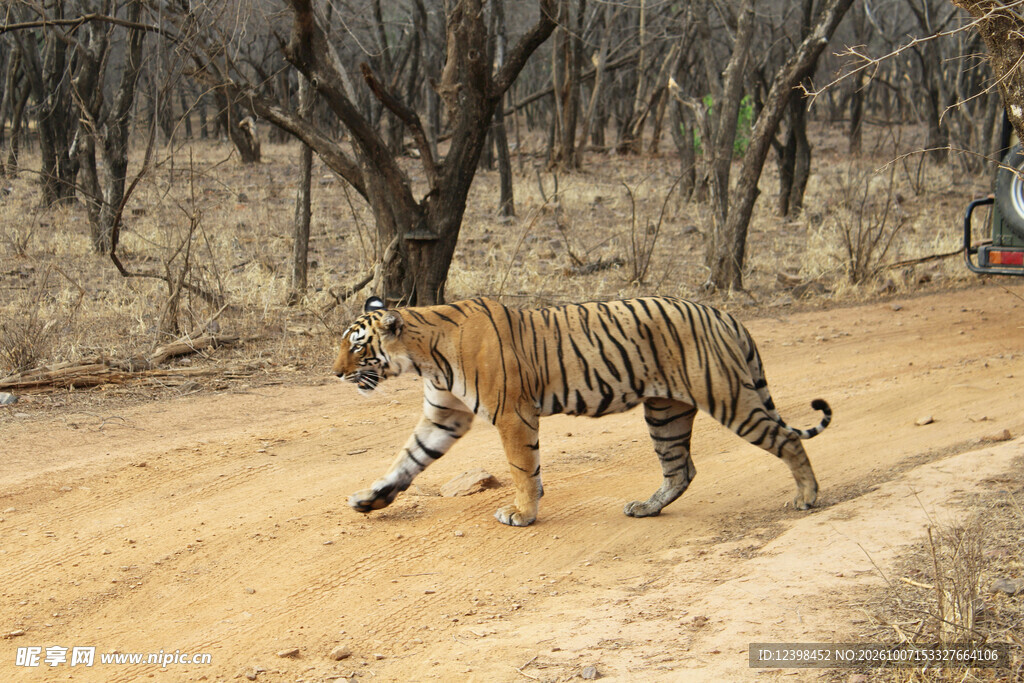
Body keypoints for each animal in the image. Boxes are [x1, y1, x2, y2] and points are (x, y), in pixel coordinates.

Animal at [333, 295, 831, 527]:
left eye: (357, 346)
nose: (335, 374)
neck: (423, 356)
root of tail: (725, 314)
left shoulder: (512, 413)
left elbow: (522, 468)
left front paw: (522, 514)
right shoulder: (443, 416)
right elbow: (407, 459)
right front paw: (370, 499)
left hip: (728, 397)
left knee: (786, 438)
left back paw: (807, 497)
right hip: (665, 412)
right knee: (681, 469)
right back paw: (646, 508)